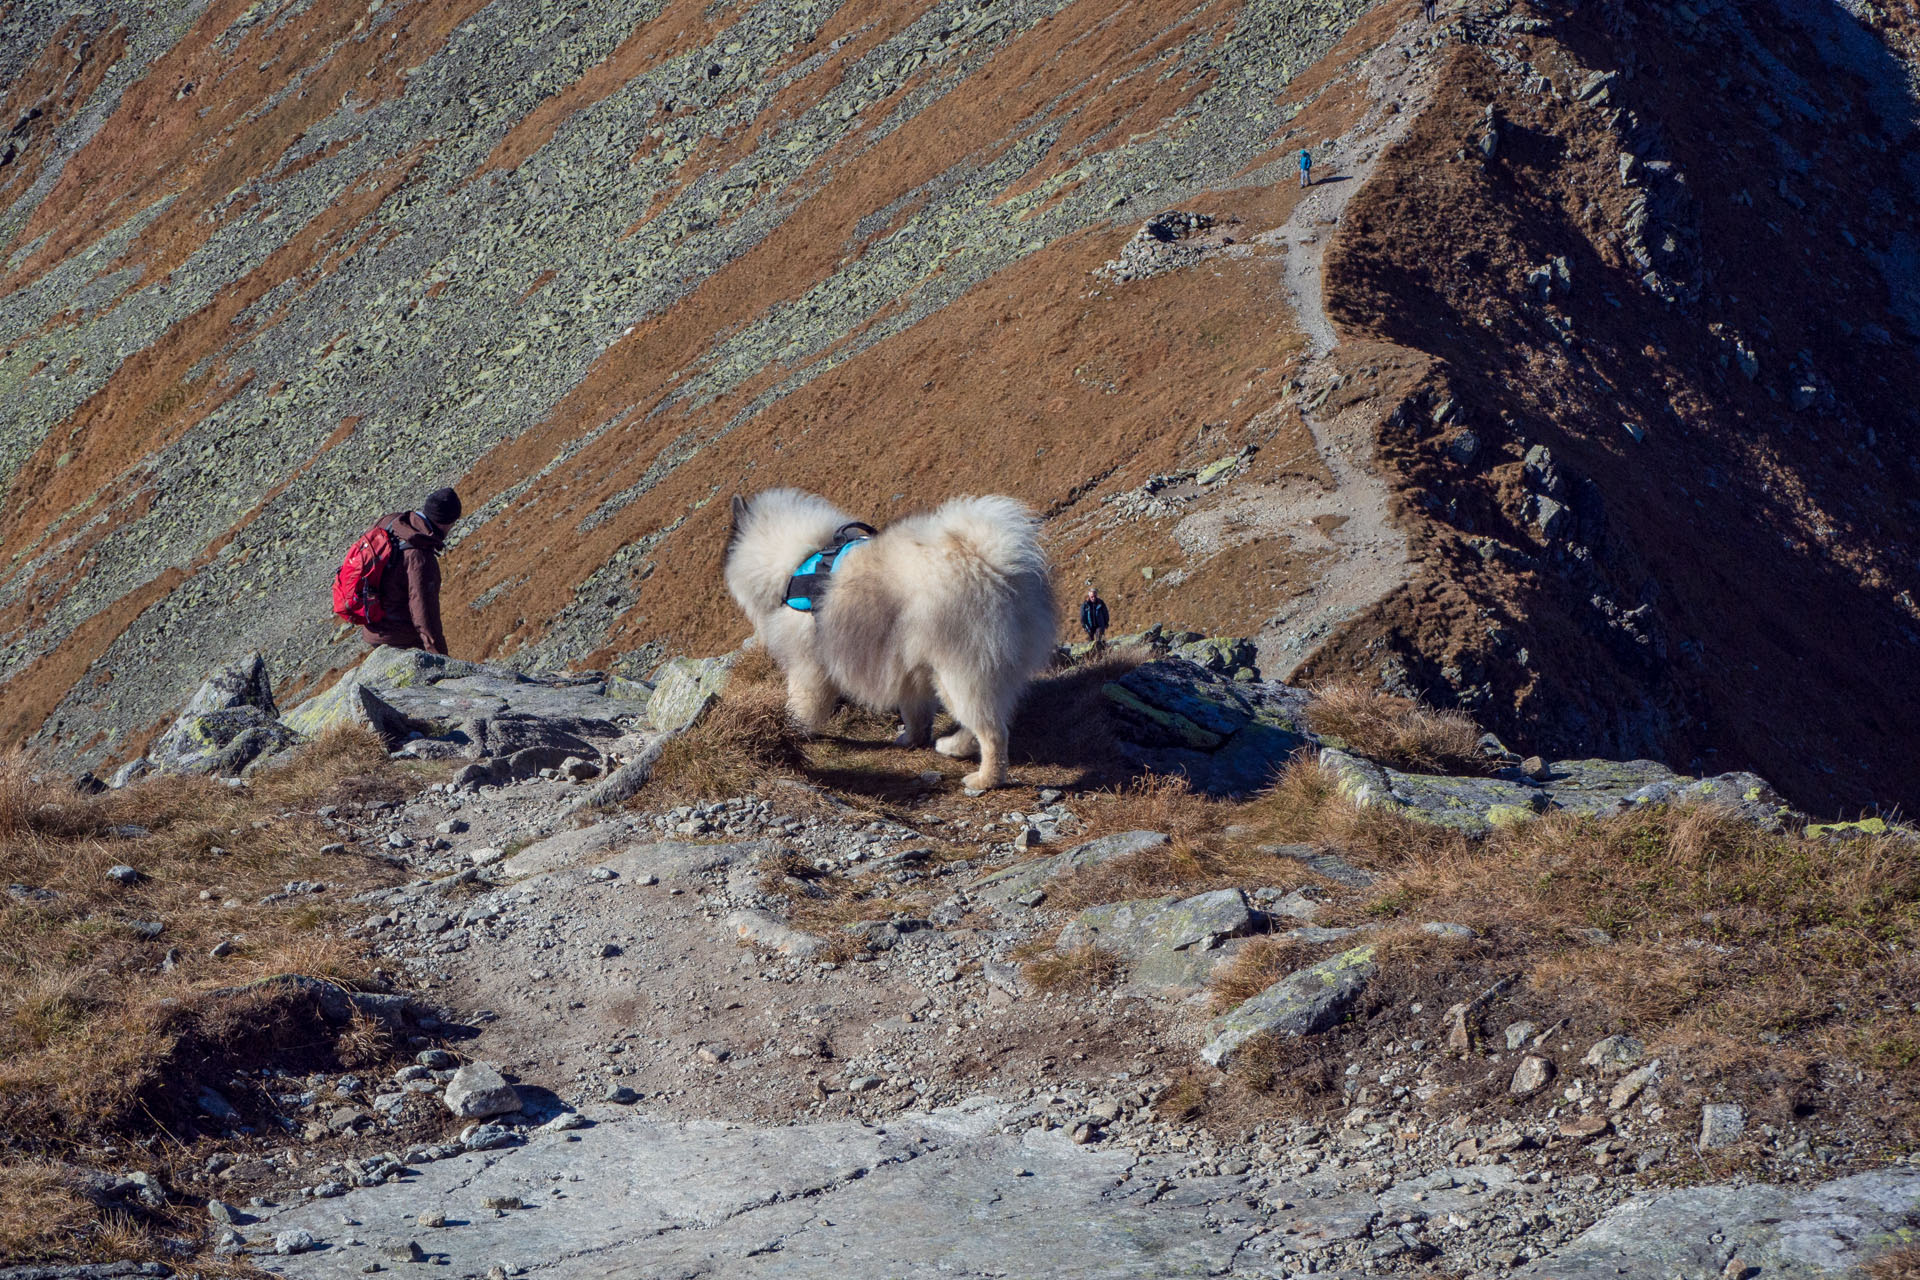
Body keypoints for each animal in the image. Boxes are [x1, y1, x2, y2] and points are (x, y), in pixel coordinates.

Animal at [721, 491, 1059, 790]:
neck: (798, 562)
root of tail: (991, 561)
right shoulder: (908, 667)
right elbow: (915, 713)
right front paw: (912, 739)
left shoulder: (808, 666)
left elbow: (803, 705)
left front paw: (792, 731)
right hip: (976, 668)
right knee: (983, 718)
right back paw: (953, 747)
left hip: (960, 669)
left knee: (992, 731)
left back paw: (985, 779)